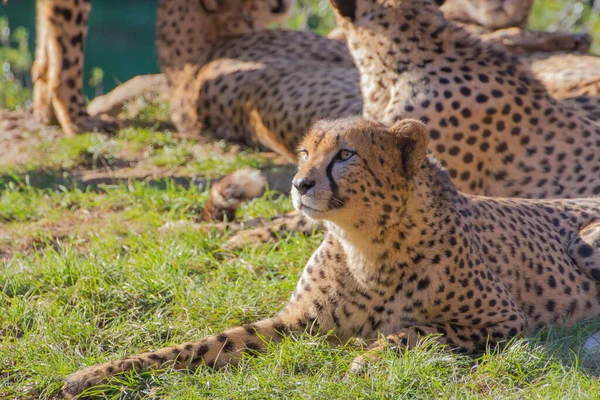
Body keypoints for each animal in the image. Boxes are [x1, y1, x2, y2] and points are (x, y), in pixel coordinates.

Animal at [59, 117, 600, 398]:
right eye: (303, 154)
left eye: (345, 155)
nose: (300, 184)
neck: (367, 244)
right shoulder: (296, 321)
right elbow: (205, 343)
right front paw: (95, 374)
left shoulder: (502, 320)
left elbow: (421, 330)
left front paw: (370, 357)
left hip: (585, 243)